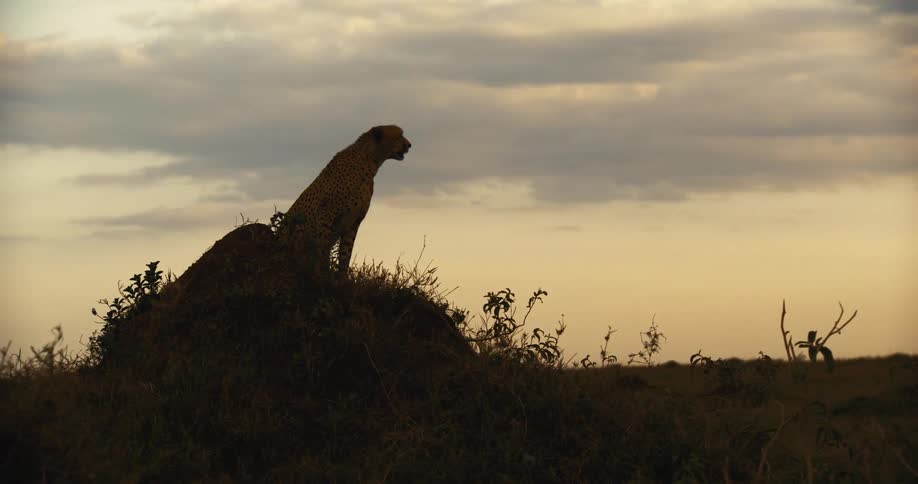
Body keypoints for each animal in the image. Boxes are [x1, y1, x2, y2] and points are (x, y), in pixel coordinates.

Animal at [280, 124, 412, 274]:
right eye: (399, 136)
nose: (409, 145)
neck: (369, 161)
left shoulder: (353, 222)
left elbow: (345, 256)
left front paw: (341, 278)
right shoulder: (326, 216)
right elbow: (323, 250)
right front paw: (322, 275)